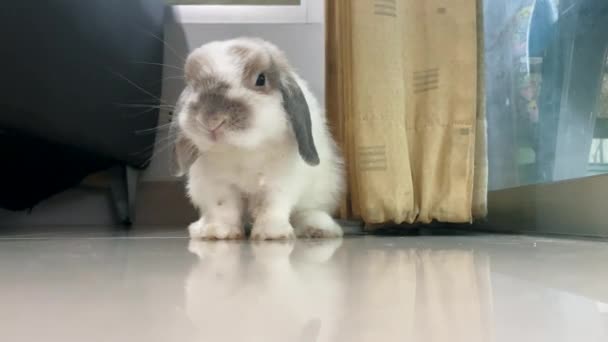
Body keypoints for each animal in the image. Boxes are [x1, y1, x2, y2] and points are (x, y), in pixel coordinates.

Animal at [171, 37, 344, 240]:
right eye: (193, 85)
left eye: (261, 79)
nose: (212, 120)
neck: (242, 149)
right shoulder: (217, 184)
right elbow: (223, 208)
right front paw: (219, 232)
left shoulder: (279, 182)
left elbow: (272, 206)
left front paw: (271, 234)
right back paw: (201, 228)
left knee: (307, 211)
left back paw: (318, 229)